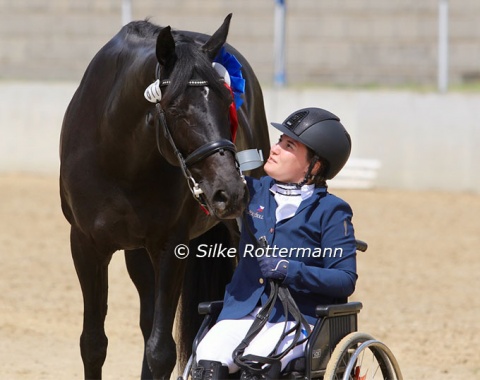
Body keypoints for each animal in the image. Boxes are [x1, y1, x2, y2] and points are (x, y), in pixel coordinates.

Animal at [59, 13, 270, 378]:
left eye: (228, 103)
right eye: (175, 109)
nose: (230, 192)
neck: (120, 157)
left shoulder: (172, 247)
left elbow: (161, 351)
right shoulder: (86, 246)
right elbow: (94, 343)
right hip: (137, 253)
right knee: (147, 322)